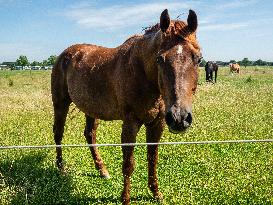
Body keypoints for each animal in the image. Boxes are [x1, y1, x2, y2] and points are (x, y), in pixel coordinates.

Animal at [50, 8, 200, 205]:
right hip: (60, 103)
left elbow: (152, 158)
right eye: (160, 59)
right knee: (58, 133)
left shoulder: (157, 124)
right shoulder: (130, 123)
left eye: (198, 59)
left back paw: (102, 170)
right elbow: (129, 164)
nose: (179, 118)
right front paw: (126, 199)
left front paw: (156, 193)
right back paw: (61, 168)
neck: (141, 72)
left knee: (90, 134)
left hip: (91, 108)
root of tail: (65, 54)